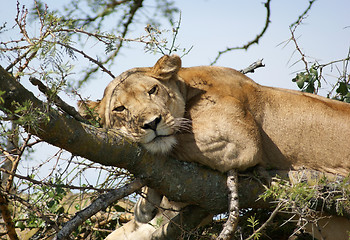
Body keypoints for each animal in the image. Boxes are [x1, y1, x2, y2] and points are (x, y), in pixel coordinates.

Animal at [80, 55, 350, 239]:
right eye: (119, 109)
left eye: (152, 90)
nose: (151, 123)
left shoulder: (240, 141)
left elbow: (172, 143)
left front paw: (145, 203)